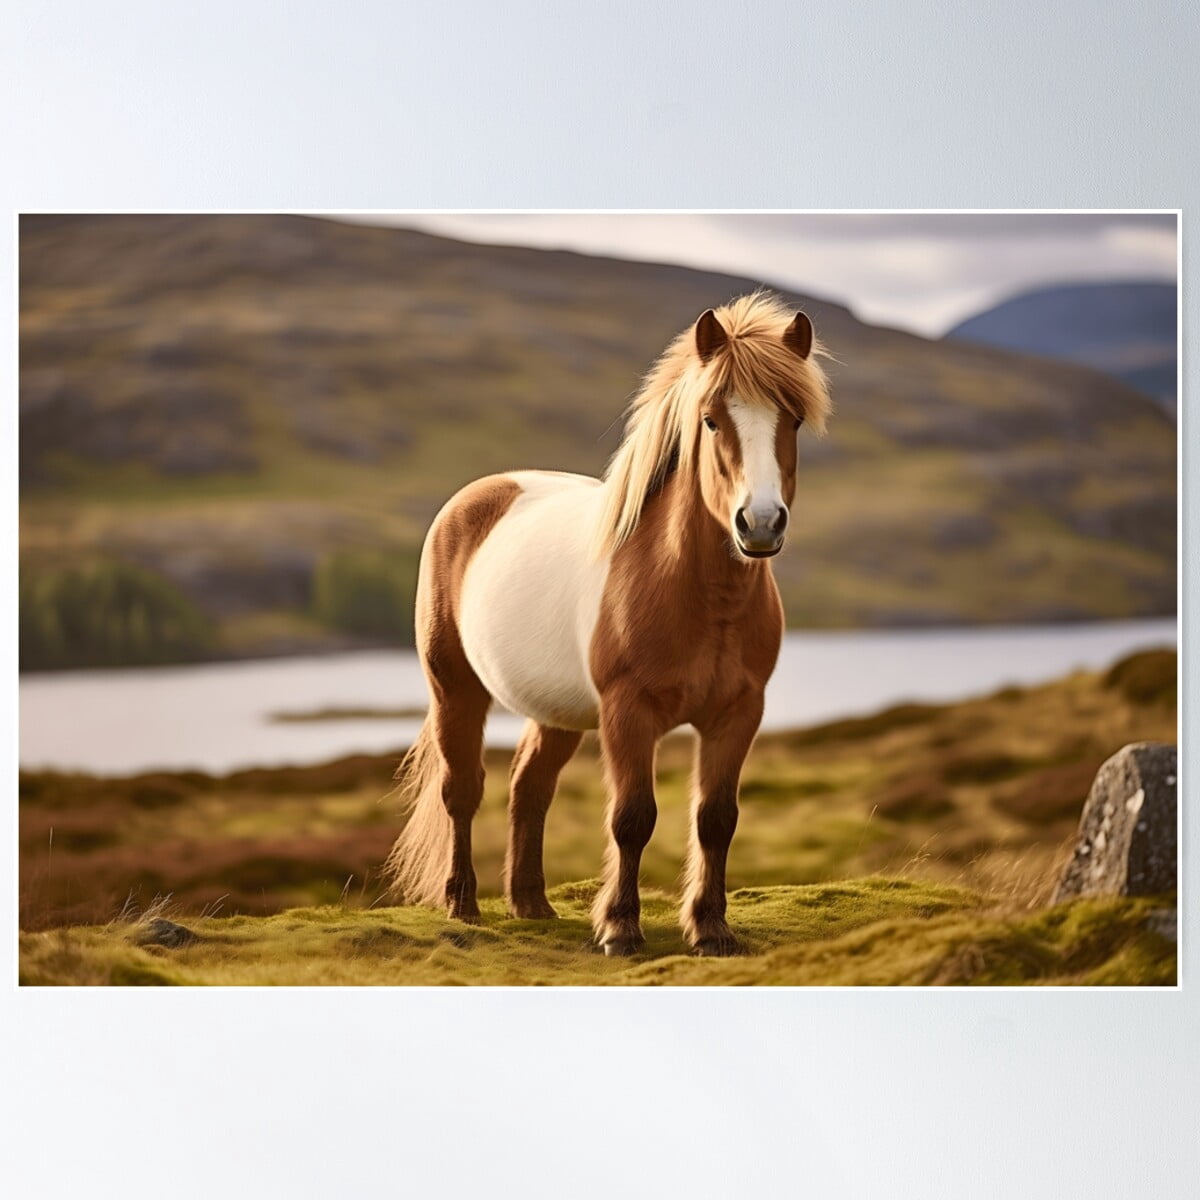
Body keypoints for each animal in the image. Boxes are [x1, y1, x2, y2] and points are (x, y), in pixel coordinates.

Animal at [385, 291, 832, 956]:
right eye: (710, 420)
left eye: (795, 420)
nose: (760, 524)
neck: (697, 594)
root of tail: (476, 497)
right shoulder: (628, 712)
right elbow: (632, 817)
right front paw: (621, 928)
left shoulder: (738, 713)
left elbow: (716, 819)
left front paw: (711, 929)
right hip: (455, 689)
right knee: (462, 789)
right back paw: (463, 906)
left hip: (556, 711)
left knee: (529, 787)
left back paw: (531, 904)